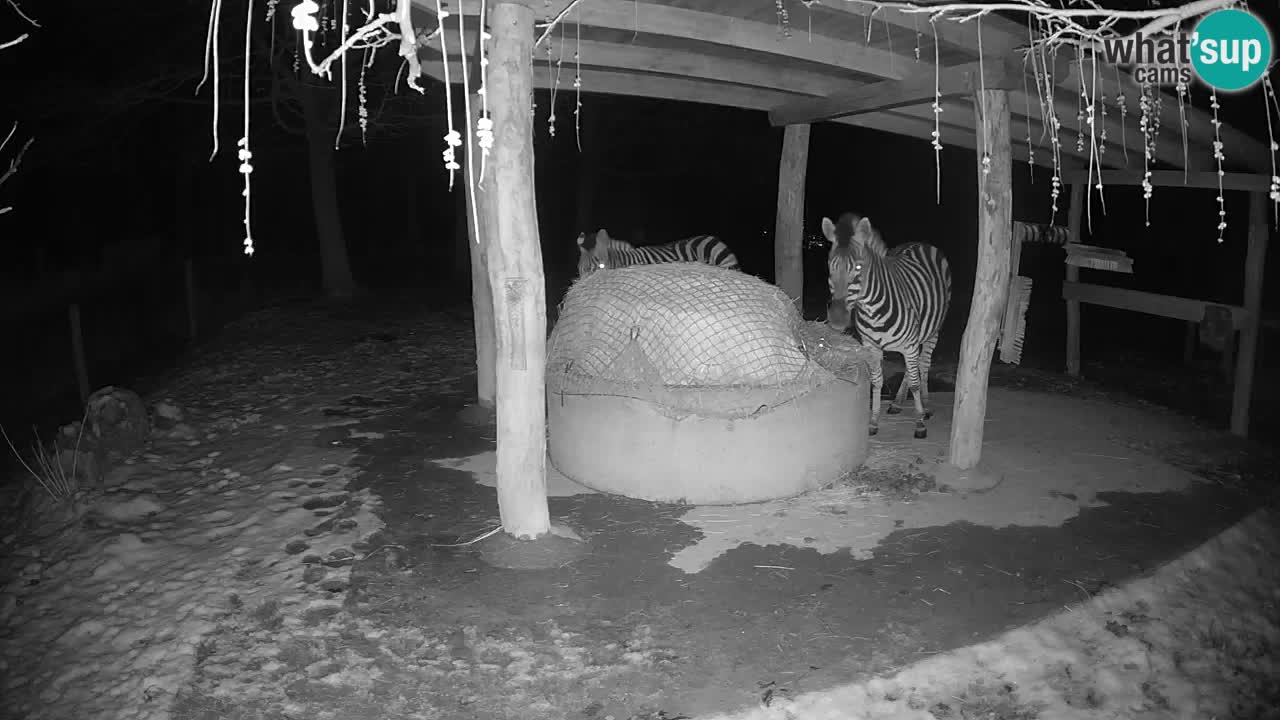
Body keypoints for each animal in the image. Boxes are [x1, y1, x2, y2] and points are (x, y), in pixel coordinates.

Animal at [819, 210, 952, 438]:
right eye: (830, 267)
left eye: (858, 267)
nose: (837, 319)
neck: (872, 310)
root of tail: (921, 243)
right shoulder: (871, 346)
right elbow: (877, 381)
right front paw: (873, 422)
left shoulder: (909, 344)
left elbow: (915, 383)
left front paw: (919, 424)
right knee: (912, 368)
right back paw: (898, 403)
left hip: (933, 331)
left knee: (923, 365)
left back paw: (925, 407)